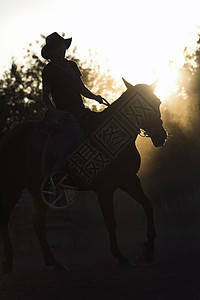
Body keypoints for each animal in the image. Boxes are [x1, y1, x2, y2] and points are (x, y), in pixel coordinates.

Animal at [0, 79, 166, 274]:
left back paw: (53, 262)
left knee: (37, 222)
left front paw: (149, 248)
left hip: (37, 189)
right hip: (13, 187)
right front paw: (120, 257)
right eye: (140, 105)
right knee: (6, 218)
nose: (161, 136)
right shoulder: (104, 189)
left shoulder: (129, 179)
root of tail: (7, 137)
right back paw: (10, 262)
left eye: (158, 102)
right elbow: (110, 221)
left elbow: (148, 205)